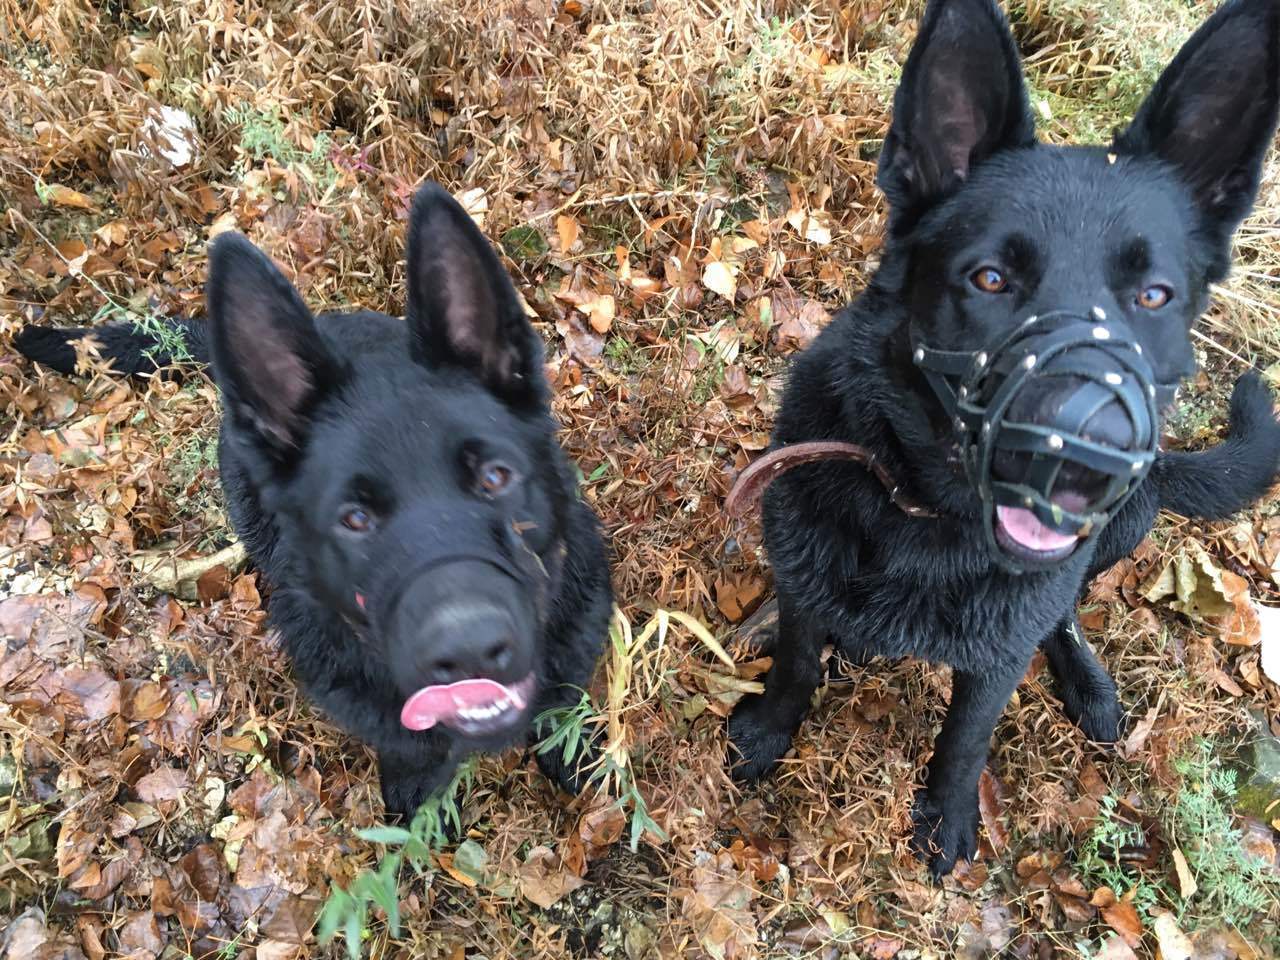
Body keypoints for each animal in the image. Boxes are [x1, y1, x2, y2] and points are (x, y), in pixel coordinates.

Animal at [15, 181, 614, 819]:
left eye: (496, 477)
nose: (470, 651)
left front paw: (567, 746)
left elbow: (560, 707)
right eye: (353, 519)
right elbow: (410, 750)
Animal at [732, 0, 1280, 880]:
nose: (1085, 458)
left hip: (1129, 521)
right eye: (990, 279)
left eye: (1153, 296)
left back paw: (1087, 681)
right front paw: (766, 732)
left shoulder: (996, 657)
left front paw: (948, 816)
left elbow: (965, 737)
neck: (925, 518)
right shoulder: (802, 581)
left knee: (1065, 613)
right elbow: (794, 662)